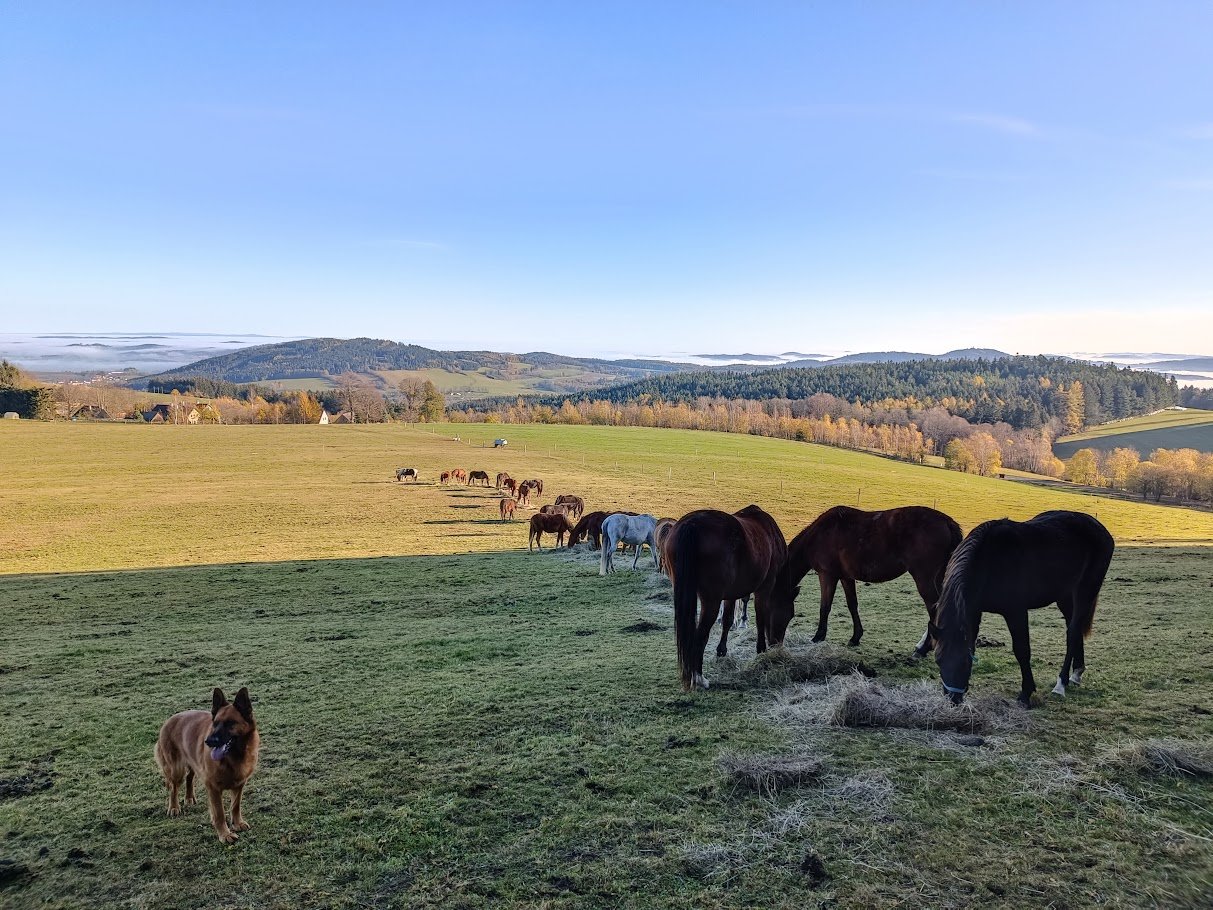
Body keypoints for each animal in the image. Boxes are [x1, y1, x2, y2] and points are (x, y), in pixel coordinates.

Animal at [156, 689, 260, 844]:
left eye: (230, 723)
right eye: (215, 723)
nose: (208, 741)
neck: (232, 757)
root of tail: (169, 720)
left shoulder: (239, 784)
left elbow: (235, 806)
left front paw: (237, 823)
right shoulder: (213, 788)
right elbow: (219, 813)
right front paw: (224, 834)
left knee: (189, 778)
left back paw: (189, 798)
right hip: (176, 770)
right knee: (173, 788)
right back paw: (174, 807)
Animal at [664, 507, 786, 689]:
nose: (778, 644)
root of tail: (691, 524)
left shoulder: (730, 594)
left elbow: (728, 620)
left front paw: (722, 650)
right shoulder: (765, 588)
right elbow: (761, 619)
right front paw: (761, 650)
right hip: (711, 601)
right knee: (699, 637)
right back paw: (698, 677)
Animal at [771, 507, 960, 655]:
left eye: (787, 613)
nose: (774, 643)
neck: (819, 534)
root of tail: (947, 522)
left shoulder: (827, 575)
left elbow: (825, 607)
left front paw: (818, 636)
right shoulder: (846, 577)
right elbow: (852, 605)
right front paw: (855, 637)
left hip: (924, 579)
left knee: (934, 609)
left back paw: (923, 649)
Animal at [931, 509, 1111, 708]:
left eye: (964, 662)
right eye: (938, 660)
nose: (953, 700)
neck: (988, 561)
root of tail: (1098, 526)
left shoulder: (1015, 611)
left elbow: (1022, 650)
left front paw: (1026, 693)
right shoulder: (974, 610)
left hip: (1085, 591)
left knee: (1072, 633)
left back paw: (1061, 683)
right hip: (1064, 596)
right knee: (1074, 628)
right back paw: (1076, 673)